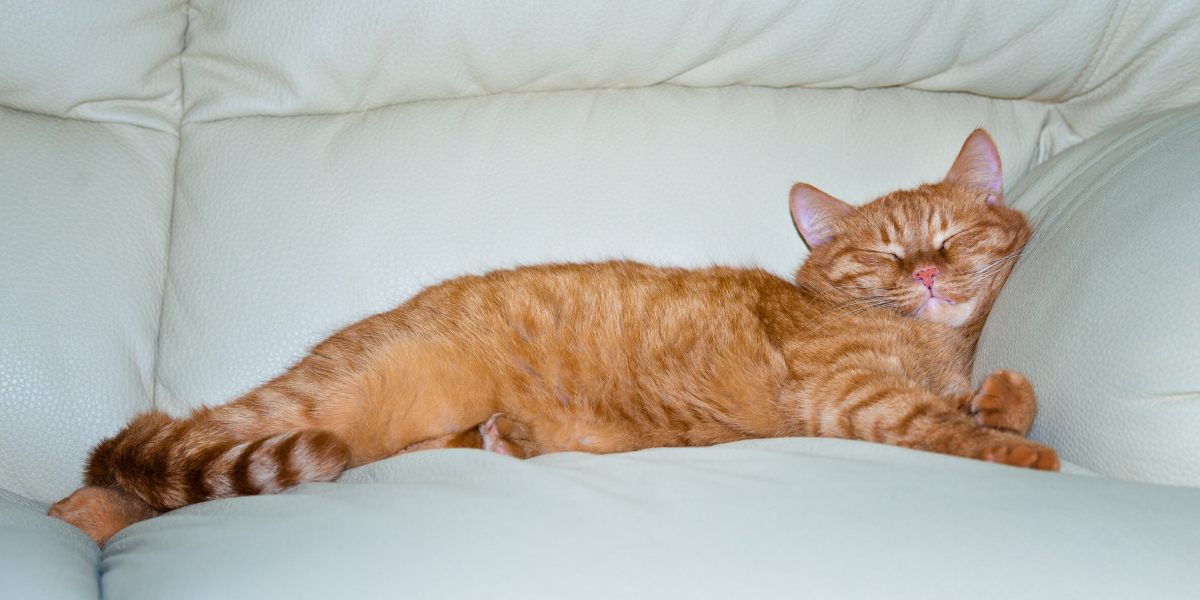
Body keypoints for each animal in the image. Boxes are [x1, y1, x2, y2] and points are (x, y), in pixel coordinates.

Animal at [49, 129, 1060, 547]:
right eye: (886, 253)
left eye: (950, 239)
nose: (924, 275)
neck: (929, 347)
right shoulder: (848, 394)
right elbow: (945, 428)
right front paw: (1027, 454)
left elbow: (997, 400)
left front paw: (1005, 398)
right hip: (320, 405)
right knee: (132, 465)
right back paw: (66, 523)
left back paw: (513, 437)